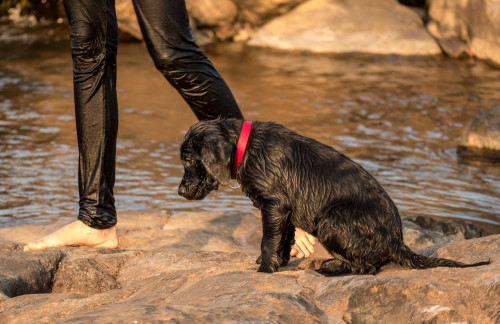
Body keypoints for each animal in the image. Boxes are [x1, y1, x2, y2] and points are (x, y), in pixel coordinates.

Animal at [179, 117, 488, 274]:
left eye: (189, 162)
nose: (180, 191)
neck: (247, 148)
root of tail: (398, 243)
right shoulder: (285, 210)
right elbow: (284, 239)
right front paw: (279, 263)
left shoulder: (274, 205)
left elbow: (269, 240)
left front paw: (266, 269)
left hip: (331, 221)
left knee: (367, 267)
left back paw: (330, 268)